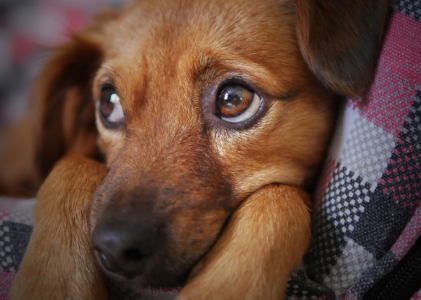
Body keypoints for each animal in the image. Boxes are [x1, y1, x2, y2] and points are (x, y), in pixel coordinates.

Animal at [4, 0, 390, 298]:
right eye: (108, 103)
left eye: (233, 100)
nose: (114, 248)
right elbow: (71, 164)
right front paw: (52, 283)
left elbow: (279, 198)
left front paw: (221, 288)